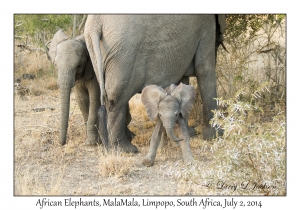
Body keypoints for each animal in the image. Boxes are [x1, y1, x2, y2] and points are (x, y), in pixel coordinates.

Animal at [84, 14, 225, 153]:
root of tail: (96, 24)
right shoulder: (206, 25)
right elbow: (204, 69)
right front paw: (216, 135)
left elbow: (183, 79)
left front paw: (187, 134)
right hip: (123, 53)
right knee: (116, 99)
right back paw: (127, 149)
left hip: (96, 50)